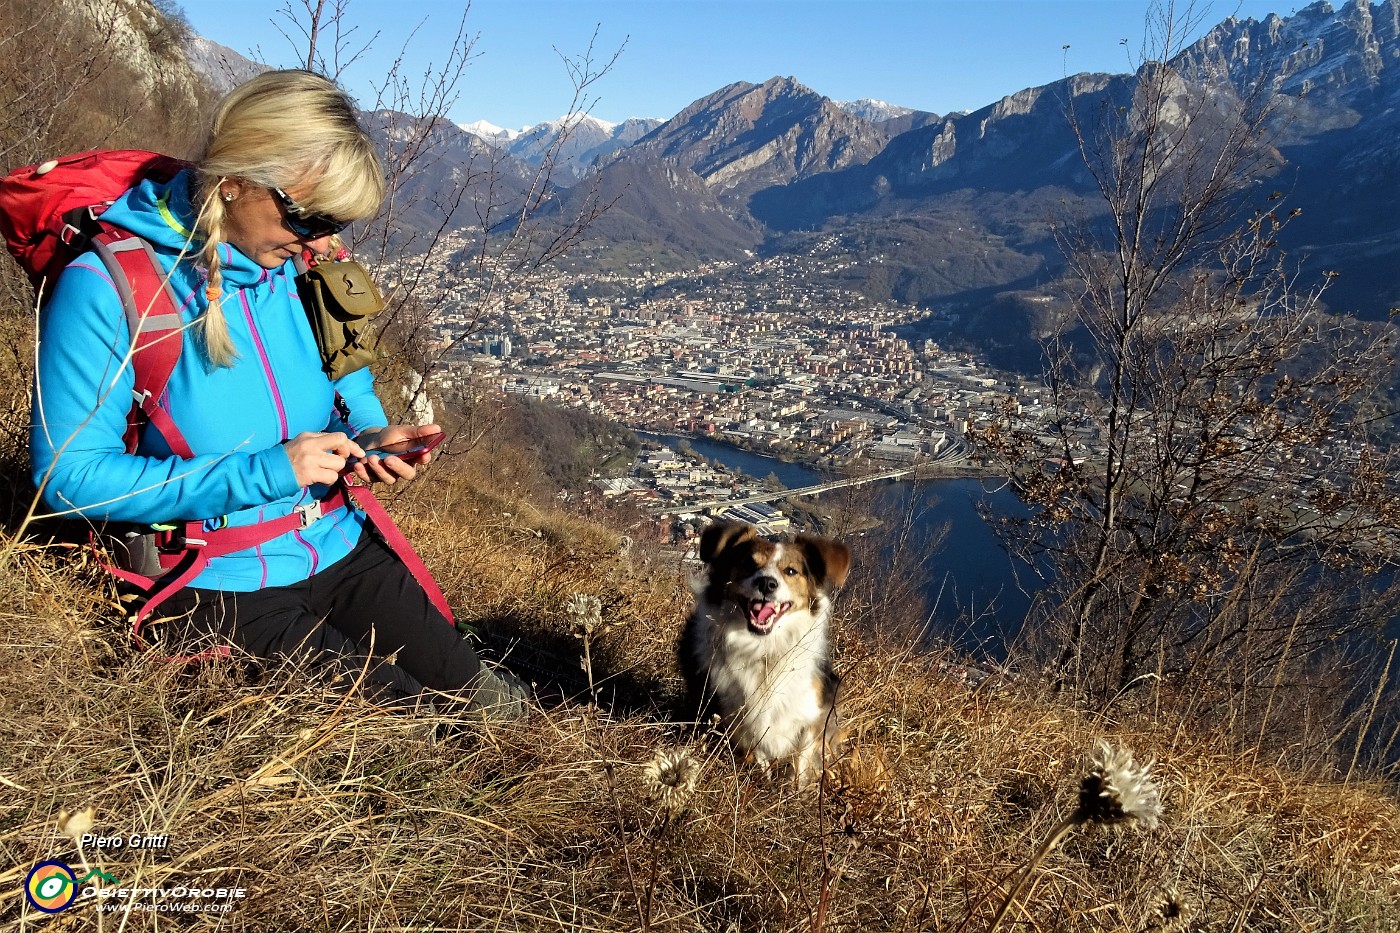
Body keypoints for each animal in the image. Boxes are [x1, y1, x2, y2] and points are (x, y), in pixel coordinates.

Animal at [680, 518, 851, 778]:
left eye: (790, 571)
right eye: (748, 563)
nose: (767, 583)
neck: (764, 649)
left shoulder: (813, 716)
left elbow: (801, 765)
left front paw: (796, 788)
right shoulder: (739, 719)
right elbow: (758, 754)